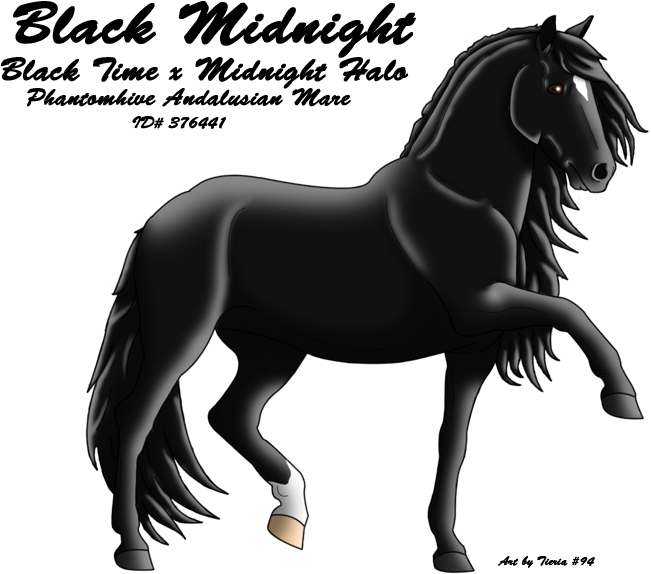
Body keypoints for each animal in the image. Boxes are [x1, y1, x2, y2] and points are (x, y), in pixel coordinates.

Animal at [86, 17, 644, 572]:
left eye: (591, 90)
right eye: (556, 87)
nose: (600, 171)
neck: (464, 198)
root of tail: (157, 223)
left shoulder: (472, 350)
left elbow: (454, 442)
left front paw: (450, 550)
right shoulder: (479, 306)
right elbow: (571, 312)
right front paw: (622, 400)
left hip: (271, 349)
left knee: (231, 416)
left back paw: (291, 516)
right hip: (180, 337)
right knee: (133, 424)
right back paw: (134, 551)